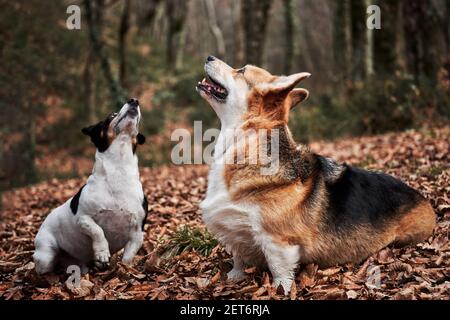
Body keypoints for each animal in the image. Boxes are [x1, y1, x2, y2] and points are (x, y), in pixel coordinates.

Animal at [34, 99, 149, 274]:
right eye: (111, 116)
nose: (134, 100)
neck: (118, 171)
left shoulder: (138, 233)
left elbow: (128, 256)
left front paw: (124, 269)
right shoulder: (83, 219)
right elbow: (98, 231)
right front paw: (102, 253)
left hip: (78, 265)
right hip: (45, 256)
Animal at [197, 55, 436, 292]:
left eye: (242, 70)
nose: (208, 56)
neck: (245, 141)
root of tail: (422, 198)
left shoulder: (277, 242)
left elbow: (279, 272)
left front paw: (279, 291)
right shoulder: (236, 233)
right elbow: (238, 258)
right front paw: (233, 277)